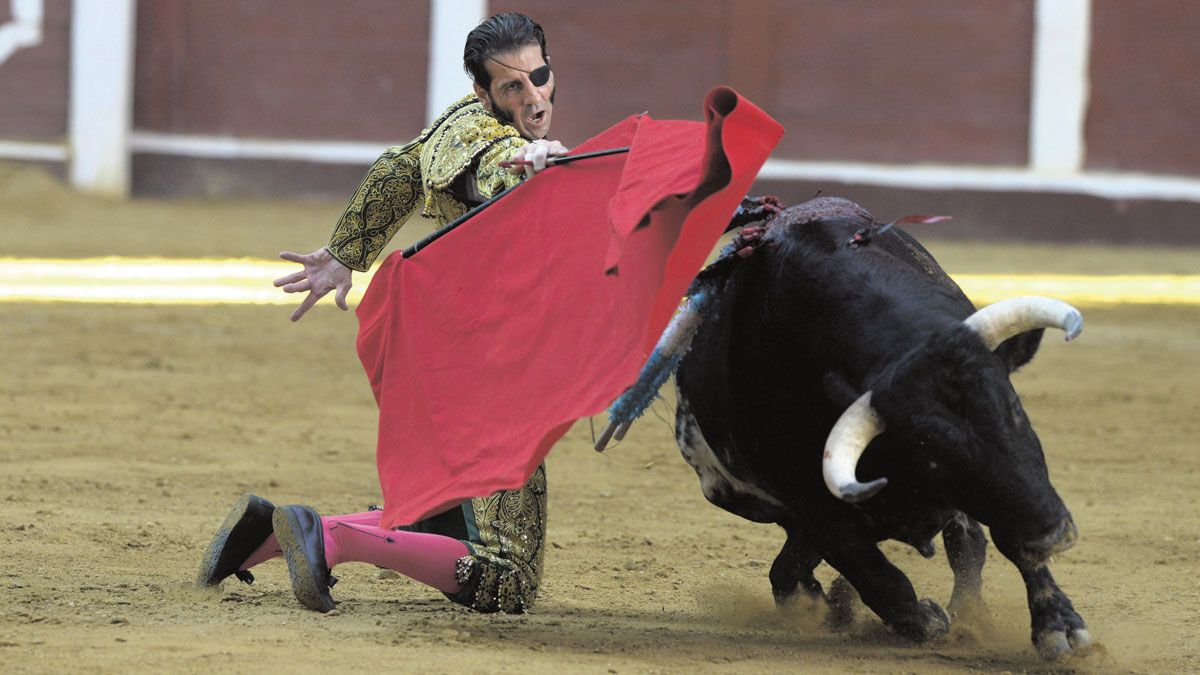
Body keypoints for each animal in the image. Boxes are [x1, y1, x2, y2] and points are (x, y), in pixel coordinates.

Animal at [604, 194, 1094, 658]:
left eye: (1014, 409)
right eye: (931, 457)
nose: (1053, 532)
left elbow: (1000, 539)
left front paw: (1059, 627)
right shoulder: (812, 500)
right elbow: (876, 574)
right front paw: (923, 619)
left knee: (963, 545)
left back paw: (963, 613)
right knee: (798, 565)